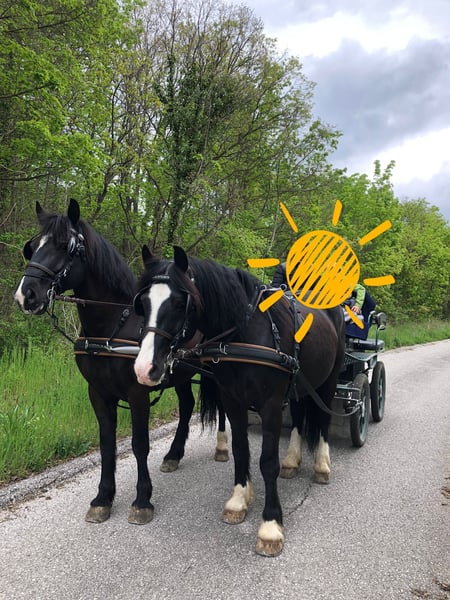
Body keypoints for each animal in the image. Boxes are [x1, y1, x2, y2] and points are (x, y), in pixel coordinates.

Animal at [13, 199, 228, 525]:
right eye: (33, 246)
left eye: (65, 246)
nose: (26, 295)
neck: (113, 326)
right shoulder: (99, 393)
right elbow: (107, 443)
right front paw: (103, 498)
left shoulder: (137, 393)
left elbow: (140, 445)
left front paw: (142, 500)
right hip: (179, 374)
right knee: (187, 405)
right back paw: (174, 454)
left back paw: (222, 448)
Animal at [133, 245, 346, 556]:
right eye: (144, 302)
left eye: (178, 303)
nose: (144, 368)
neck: (244, 335)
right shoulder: (232, 401)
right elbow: (240, 450)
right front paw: (238, 500)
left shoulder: (271, 405)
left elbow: (267, 461)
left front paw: (271, 525)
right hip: (300, 383)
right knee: (299, 415)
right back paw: (292, 461)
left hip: (329, 380)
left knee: (323, 419)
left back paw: (321, 465)